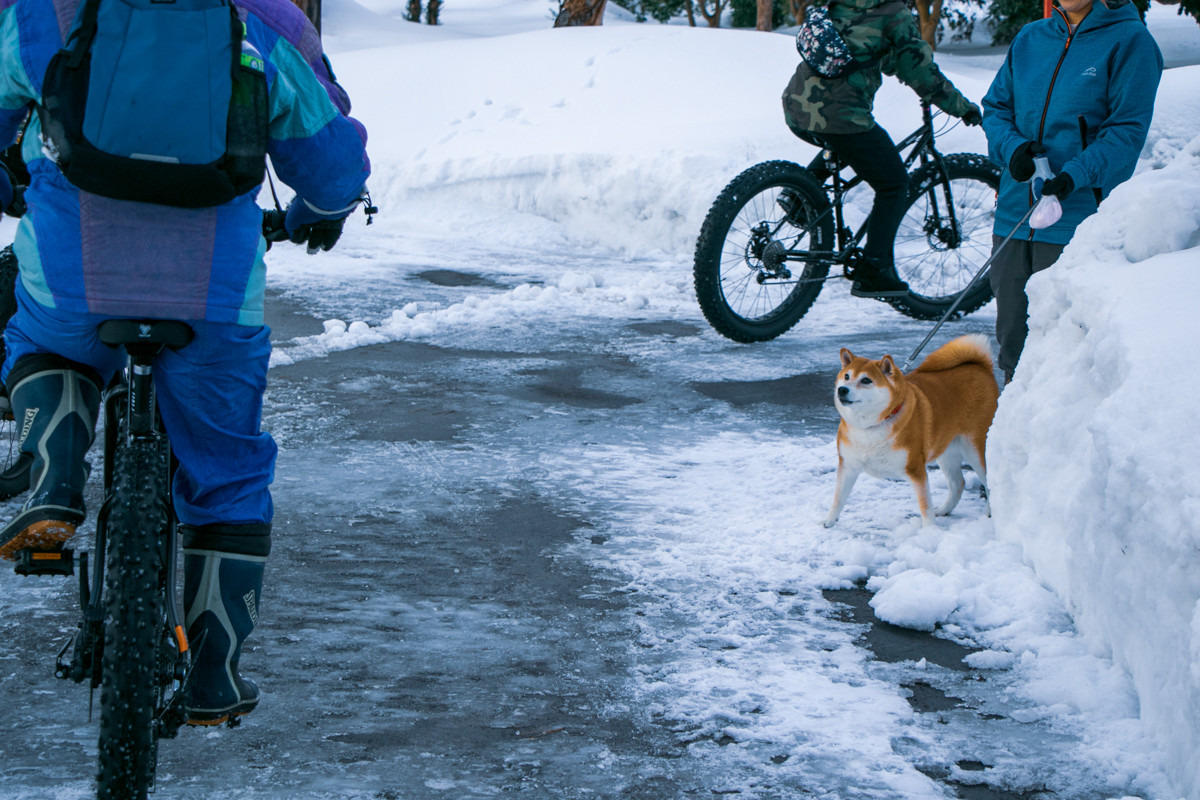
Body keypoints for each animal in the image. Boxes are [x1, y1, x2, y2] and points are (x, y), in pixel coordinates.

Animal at [825, 335, 1003, 527]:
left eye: (866, 380)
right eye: (846, 376)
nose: (842, 390)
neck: (872, 426)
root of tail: (980, 366)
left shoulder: (915, 469)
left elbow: (925, 506)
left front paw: (930, 530)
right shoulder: (848, 465)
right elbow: (838, 498)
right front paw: (829, 521)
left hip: (975, 449)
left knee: (990, 481)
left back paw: (991, 511)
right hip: (947, 451)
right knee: (958, 483)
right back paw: (944, 509)